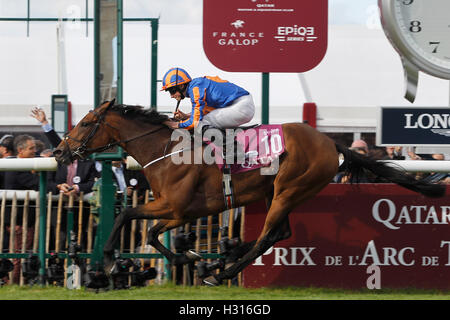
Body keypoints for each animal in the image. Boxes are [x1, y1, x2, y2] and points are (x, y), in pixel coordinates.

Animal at [54, 100, 444, 284]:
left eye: (86, 123)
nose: (59, 152)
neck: (166, 148)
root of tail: (330, 142)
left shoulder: (177, 208)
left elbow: (128, 215)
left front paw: (108, 260)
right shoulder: (178, 211)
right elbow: (150, 233)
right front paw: (188, 257)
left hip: (289, 189)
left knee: (267, 236)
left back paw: (223, 271)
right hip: (281, 193)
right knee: (279, 233)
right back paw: (221, 260)